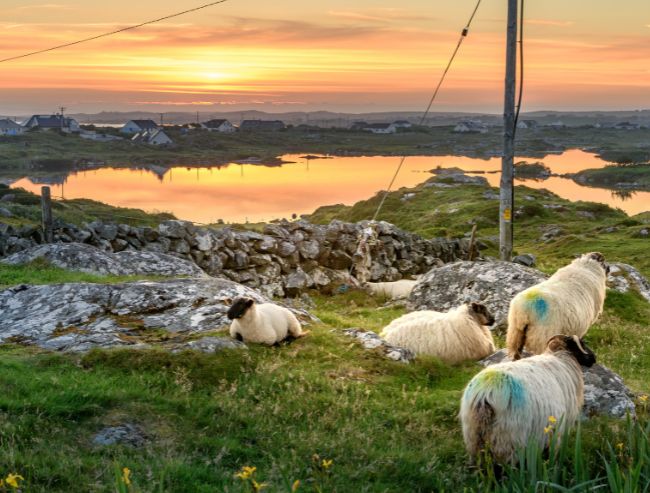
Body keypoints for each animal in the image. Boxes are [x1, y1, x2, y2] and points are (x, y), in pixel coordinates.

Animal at [460, 335, 596, 465]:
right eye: (582, 344)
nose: (594, 358)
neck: (563, 359)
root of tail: (485, 394)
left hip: (473, 435)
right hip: (509, 436)